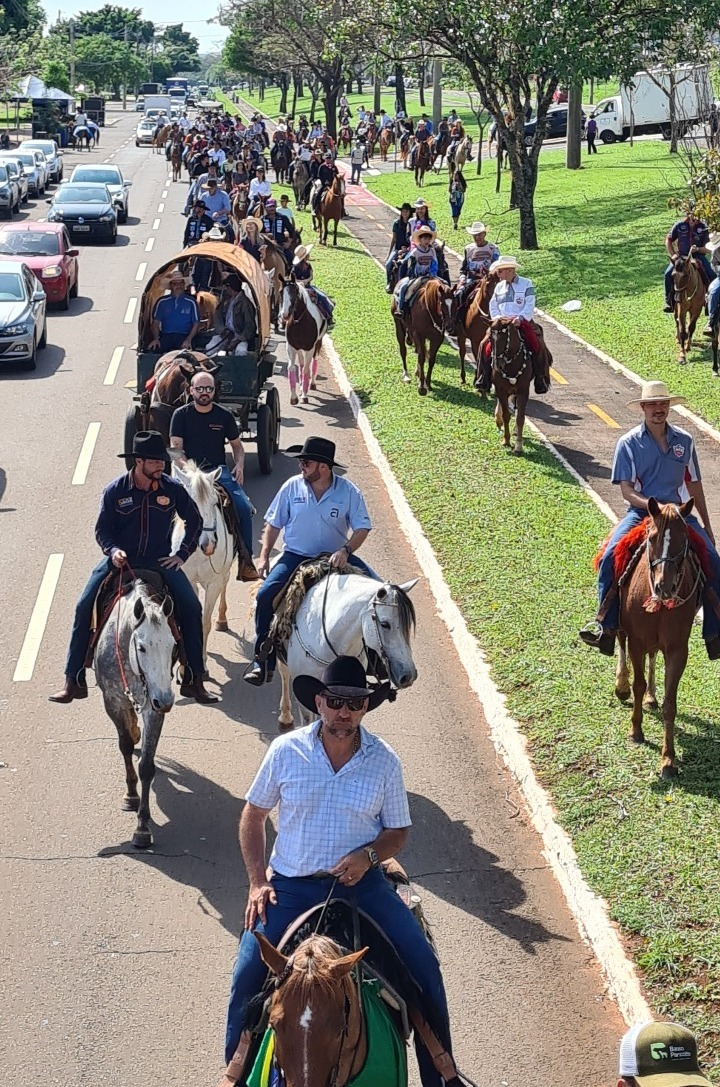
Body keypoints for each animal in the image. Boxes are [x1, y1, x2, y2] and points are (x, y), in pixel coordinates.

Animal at [94, 578, 177, 847]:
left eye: (173, 645)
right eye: (141, 647)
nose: (166, 700)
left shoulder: (153, 707)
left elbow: (147, 766)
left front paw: (142, 827)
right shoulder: (113, 701)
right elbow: (125, 746)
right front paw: (131, 795)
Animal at [171, 456, 233, 660]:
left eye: (214, 502)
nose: (209, 545)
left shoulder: (213, 583)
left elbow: (205, 622)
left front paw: (202, 661)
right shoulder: (189, 581)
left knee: (226, 581)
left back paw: (222, 619)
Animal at [282, 273, 326, 406]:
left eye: (294, 293)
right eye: (281, 293)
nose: (285, 315)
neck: (300, 321)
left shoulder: (309, 348)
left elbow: (307, 369)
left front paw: (304, 396)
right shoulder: (291, 346)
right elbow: (292, 368)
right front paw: (294, 397)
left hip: (318, 343)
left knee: (313, 362)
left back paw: (312, 384)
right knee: (301, 364)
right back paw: (301, 386)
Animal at [613, 497, 704, 778]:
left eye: (684, 538)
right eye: (652, 538)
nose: (665, 586)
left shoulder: (677, 650)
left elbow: (670, 703)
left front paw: (668, 759)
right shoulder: (637, 642)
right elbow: (638, 684)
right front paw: (636, 730)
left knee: (654, 656)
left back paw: (651, 697)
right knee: (620, 640)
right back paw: (621, 685)